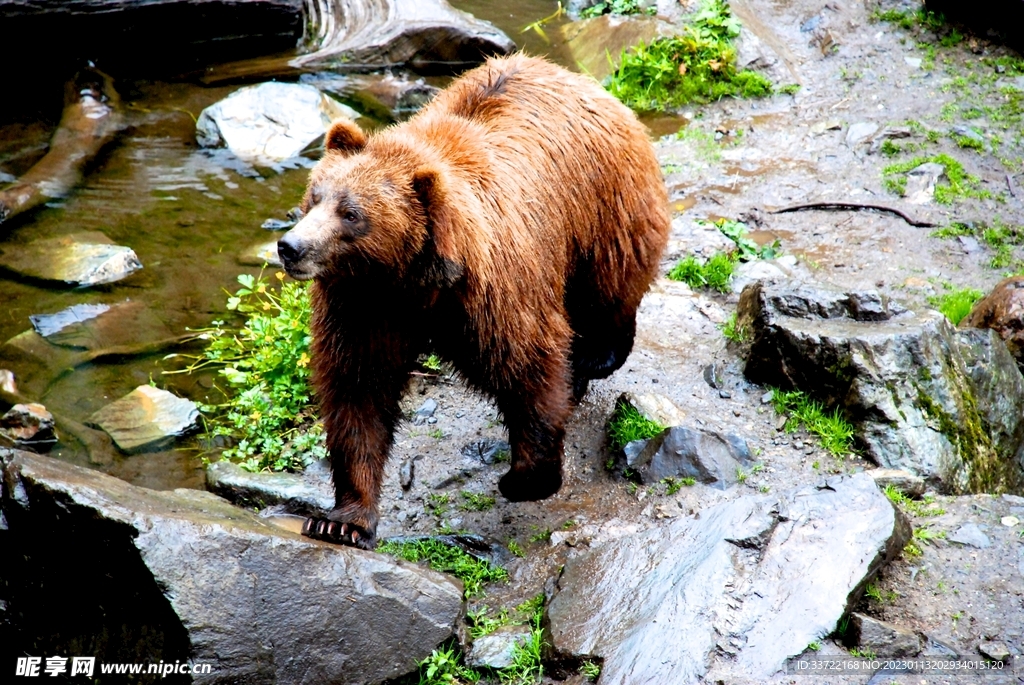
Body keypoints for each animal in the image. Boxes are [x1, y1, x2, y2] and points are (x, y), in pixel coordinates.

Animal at [278, 54, 670, 549]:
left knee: (608, 290)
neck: (413, 280)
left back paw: (593, 357)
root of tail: (583, 81)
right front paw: (342, 520)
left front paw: (524, 478)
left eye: (351, 214)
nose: (290, 247)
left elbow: (529, 365)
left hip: (601, 211)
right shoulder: (365, 306)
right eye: (314, 197)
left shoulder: (492, 293)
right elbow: (358, 392)